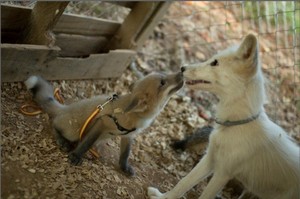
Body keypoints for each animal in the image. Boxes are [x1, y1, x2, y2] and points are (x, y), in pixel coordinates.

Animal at [148, 33, 300, 198]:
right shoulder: (210, 159)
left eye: (214, 63)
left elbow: (203, 195)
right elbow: (182, 183)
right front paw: (163, 196)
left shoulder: (222, 173)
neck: (236, 124)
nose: (182, 68)